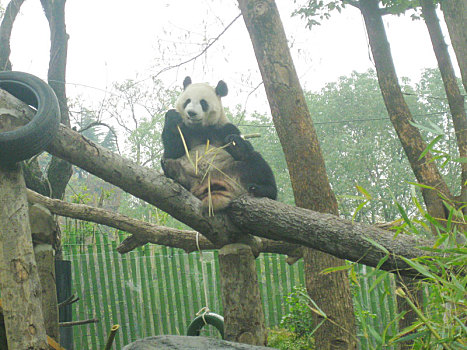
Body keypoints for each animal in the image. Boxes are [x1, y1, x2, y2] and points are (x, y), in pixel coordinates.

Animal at [162, 76, 278, 211]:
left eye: (203, 103)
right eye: (187, 101)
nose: (191, 113)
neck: (200, 128)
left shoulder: (224, 128)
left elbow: (242, 145)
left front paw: (235, 143)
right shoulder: (186, 130)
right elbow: (173, 151)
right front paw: (172, 118)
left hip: (236, 170)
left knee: (255, 162)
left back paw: (262, 189)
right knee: (168, 162)